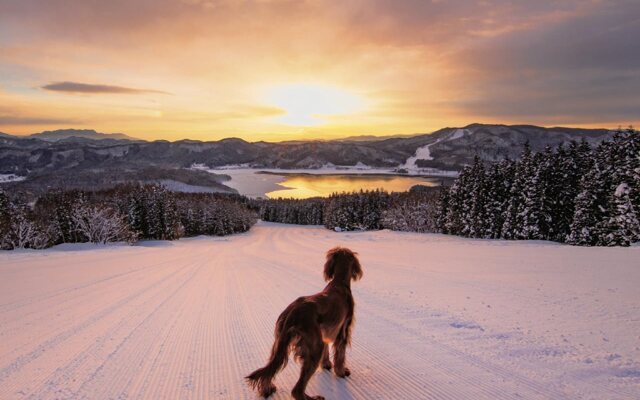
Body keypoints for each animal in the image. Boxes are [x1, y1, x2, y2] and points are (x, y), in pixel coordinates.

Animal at [248, 245, 362, 398]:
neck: (339, 283)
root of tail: (292, 312)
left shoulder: (325, 331)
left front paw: (327, 365)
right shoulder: (343, 330)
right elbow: (340, 355)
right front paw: (341, 372)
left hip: (279, 342)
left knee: (271, 367)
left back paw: (268, 389)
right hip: (314, 347)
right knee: (296, 390)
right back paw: (313, 397)